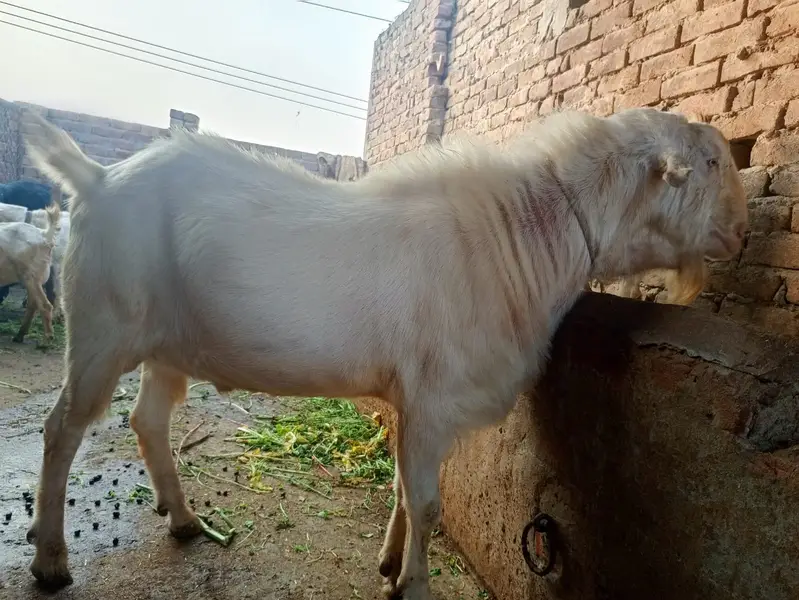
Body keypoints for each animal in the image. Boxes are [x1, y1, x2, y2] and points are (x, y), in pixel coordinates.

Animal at [0, 197, 60, 343]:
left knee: (44, 305)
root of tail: (44, 234)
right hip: (31, 278)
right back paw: (19, 335)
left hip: (32, 276)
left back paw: (46, 340)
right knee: (33, 304)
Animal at [22, 107, 747, 598]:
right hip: (102, 329)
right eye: (710, 164)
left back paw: (182, 519)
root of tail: (96, 177)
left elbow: (402, 488)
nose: (740, 231)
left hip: (165, 344)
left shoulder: (414, 400)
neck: (525, 238)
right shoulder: (434, 399)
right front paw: (415, 585)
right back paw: (51, 560)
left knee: (147, 418)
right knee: (62, 429)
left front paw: (389, 564)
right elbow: (425, 502)